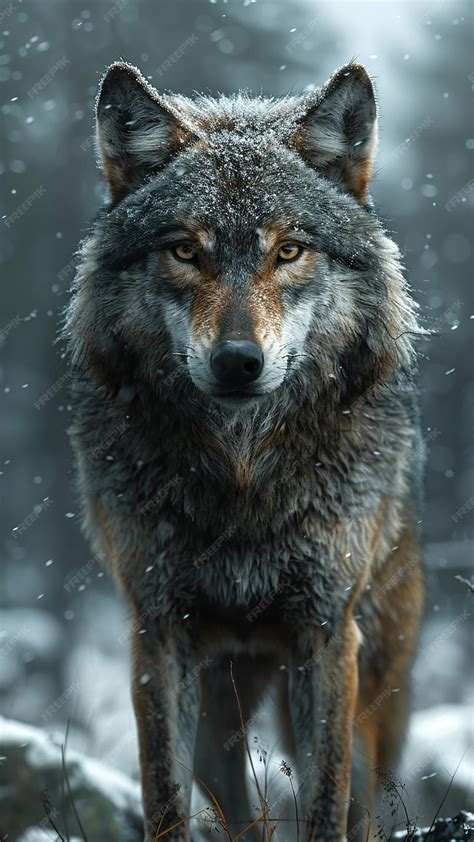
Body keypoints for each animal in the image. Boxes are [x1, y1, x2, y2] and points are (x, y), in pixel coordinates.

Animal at [65, 60, 424, 842]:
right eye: (185, 250)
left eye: (288, 250)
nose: (236, 362)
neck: (242, 476)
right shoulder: (157, 633)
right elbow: (164, 798)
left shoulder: (326, 633)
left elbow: (324, 801)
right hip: (218, 709)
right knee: (239, 806)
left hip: (364, 687)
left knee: (360, 798)